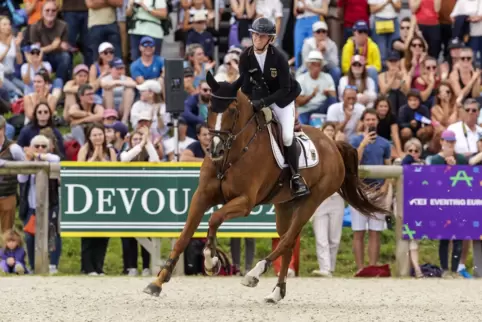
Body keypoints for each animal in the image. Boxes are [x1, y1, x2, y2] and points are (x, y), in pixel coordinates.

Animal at [142, 71, 388, 304]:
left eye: (232, 110)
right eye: (210, 108)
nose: (215, 149)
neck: (230, 156)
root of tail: (333, 144)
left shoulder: (245, 202)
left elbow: (214, 219)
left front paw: (211, 262)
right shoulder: (201, 197)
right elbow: (184, 236)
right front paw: (158, 282)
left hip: (312, 201)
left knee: (287, 239)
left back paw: (254, 273)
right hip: (285, 205)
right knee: (288, 241)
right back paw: (277, 292)